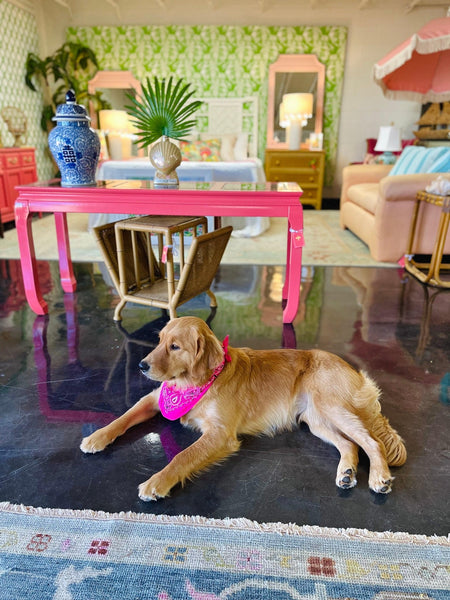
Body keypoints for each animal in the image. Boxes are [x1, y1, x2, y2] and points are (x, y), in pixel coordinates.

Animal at [81, 316, 408, 500]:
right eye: (159, 341)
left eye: (175, 347)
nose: (141, 365)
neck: (199, 382)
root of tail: (353, 369)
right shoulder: (154, 399)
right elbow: (124, 417)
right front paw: (97, 436)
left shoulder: (220, 434)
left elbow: (183, 456)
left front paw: (157, 481)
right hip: (317, 420)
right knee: (350, 445)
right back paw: (347, 472)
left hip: (332, 407)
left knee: (372, 442)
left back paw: (379, 477)